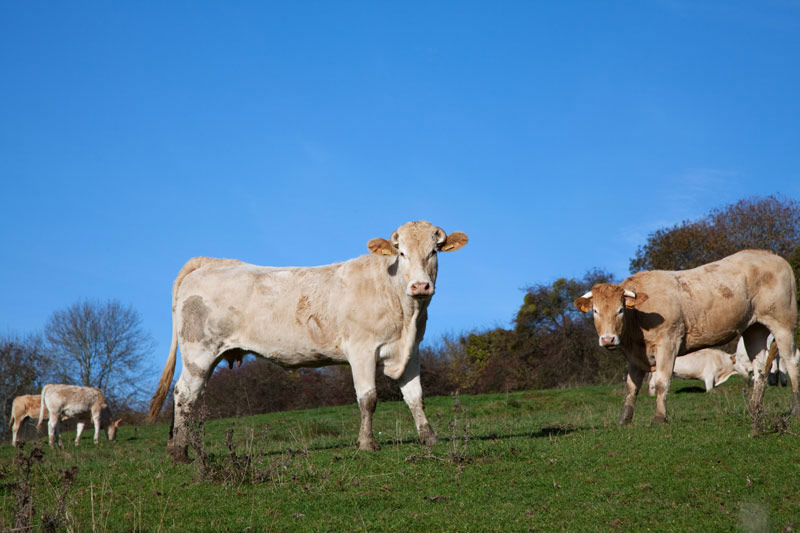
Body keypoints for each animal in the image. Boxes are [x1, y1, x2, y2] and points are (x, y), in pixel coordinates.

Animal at [148, 220, 468, 462]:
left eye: (434, 251)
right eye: (401, 253)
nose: (420, 285)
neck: (406, 315)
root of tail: (210, 263)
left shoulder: (412, 351)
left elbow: (416, 396)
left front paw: (429, 437)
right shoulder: (362, 350)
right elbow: (368, 399)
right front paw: (367, 443)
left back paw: (179, 447)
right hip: (198, 353)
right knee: (184, 395)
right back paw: (180, 453)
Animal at [576, 249, 800, 424]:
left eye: (621, 310)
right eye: (595, 311)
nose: (608, 339)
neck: (637, 320)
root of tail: (772, 256)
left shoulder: (668, 343)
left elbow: (661, 382)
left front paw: (659, 418)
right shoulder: (634, 356)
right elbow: (631, 388)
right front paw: (624, 420)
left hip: (783, 323)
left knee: (791, 362)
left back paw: (794, 410)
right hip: (754, 329)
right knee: (760, 369)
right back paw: (754, 408)